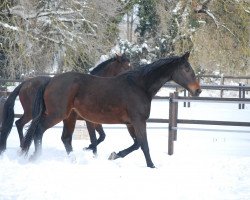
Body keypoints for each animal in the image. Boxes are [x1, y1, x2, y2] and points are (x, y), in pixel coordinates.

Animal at [0, 53, 132, 153]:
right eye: (126, 67)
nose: (130, 76)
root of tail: (25, 83)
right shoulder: (89, 121)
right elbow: (94, 138)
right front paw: (92, 151)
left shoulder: (96, 121)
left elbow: (102, 136)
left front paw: (89, 148)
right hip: (32, 113)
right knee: (20, 123)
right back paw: (23, 145)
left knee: (20, 124)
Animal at [21, 51, 201, 167]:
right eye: (186, 68)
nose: (198, 90)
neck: (139, 86)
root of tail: (50, 81)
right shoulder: (138, 121)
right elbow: (144, 144)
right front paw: (151, 166)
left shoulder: (130, 123)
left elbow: (136, 144)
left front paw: (114, 155)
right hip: (56, 114)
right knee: (39, 130)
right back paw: (36, 157)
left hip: (69, 117)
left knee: (65, 138)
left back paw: (73, 161)